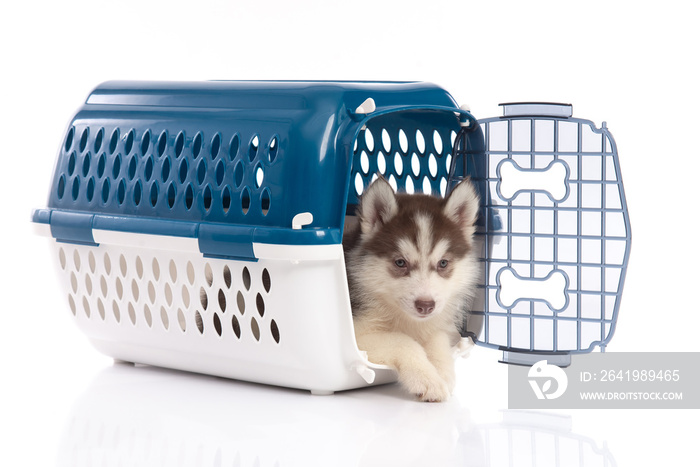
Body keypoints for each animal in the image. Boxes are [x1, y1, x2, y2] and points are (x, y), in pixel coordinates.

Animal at [344, 176, 482, 402]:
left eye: (443, 263)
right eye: (400, 262)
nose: (426, 305)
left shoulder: (438, 324)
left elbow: (437, 341)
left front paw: (444, 373)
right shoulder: (357, 336)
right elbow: (403, 341)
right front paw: (427, 378)